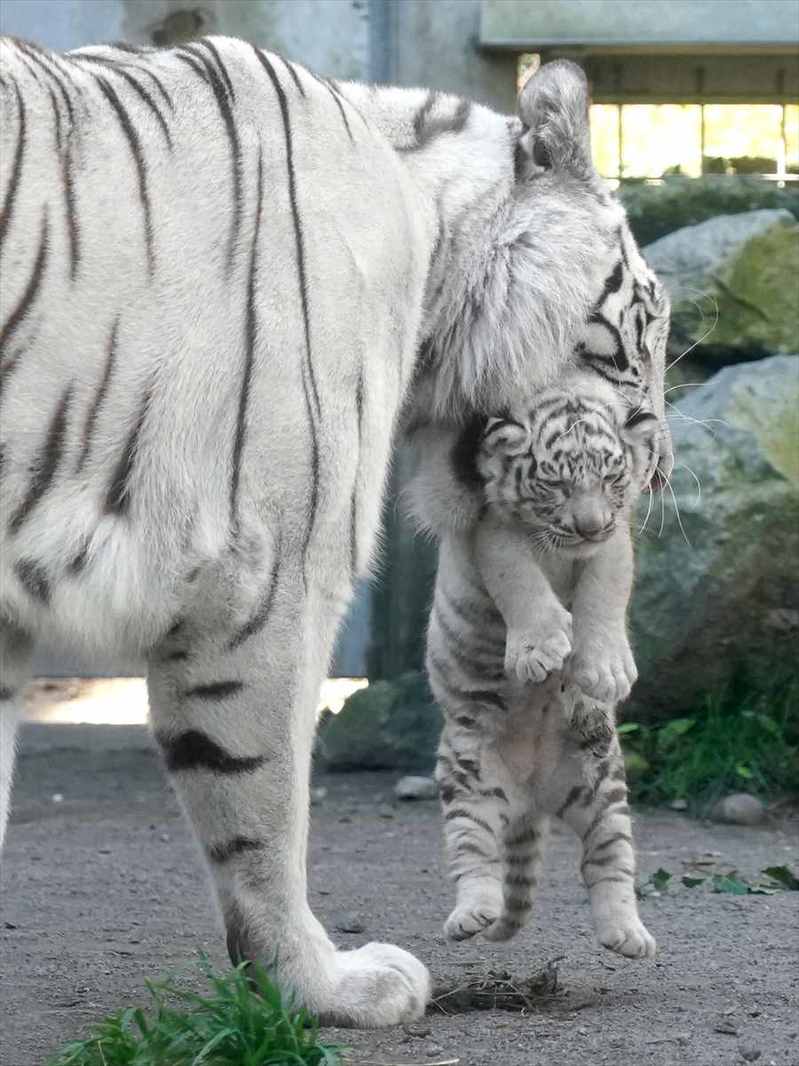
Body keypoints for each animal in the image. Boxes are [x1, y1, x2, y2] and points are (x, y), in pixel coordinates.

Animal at [421, 373, 660, 950]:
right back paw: (472, 915)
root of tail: (530, 800)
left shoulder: (614, 537)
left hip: (600, 789)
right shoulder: (489, 526)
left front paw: (604, 669)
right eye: (554, 485)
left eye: (611, 477)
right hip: (469, 779)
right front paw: (541, 650)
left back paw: (626, 933)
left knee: (609, 860)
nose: (588, 525)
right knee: (476, 855)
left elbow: (604, 589)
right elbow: (518, 577)